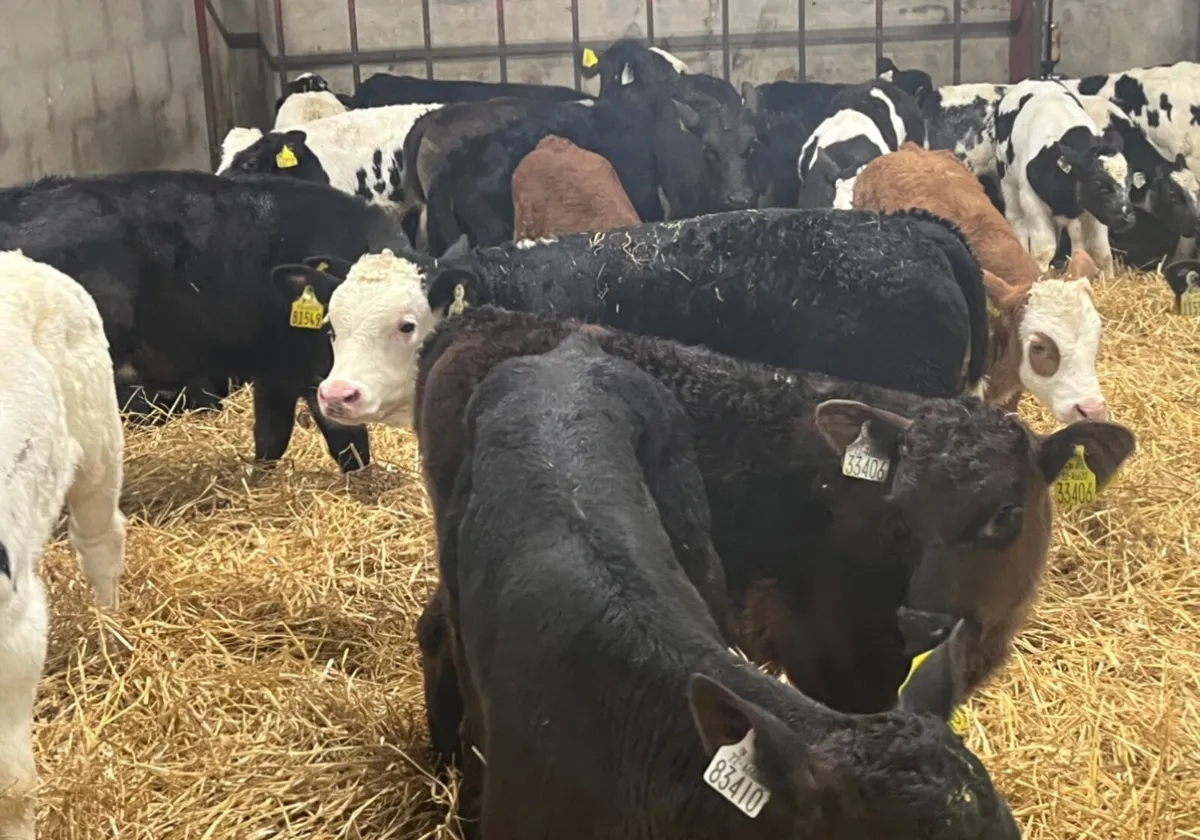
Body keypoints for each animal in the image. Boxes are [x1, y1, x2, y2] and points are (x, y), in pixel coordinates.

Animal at [996, 80, 1135, 274]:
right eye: (1099, 184)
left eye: (1129, 183)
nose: (1128, 218)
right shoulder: (1031, 201)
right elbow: (1044, 250)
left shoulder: (1094, 210)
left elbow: (1101, 252)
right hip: (1008, 182)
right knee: (1016, 220)